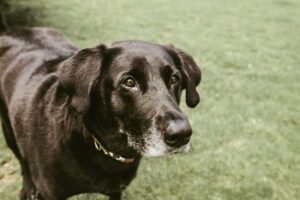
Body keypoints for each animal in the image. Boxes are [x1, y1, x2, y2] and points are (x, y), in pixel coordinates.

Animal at [0, 27, 202, 199]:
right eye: (129, 82)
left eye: (174, 79)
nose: (181, 134)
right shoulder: (50, 194)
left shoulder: (117, 190)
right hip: (9, 131)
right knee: (23, 162)